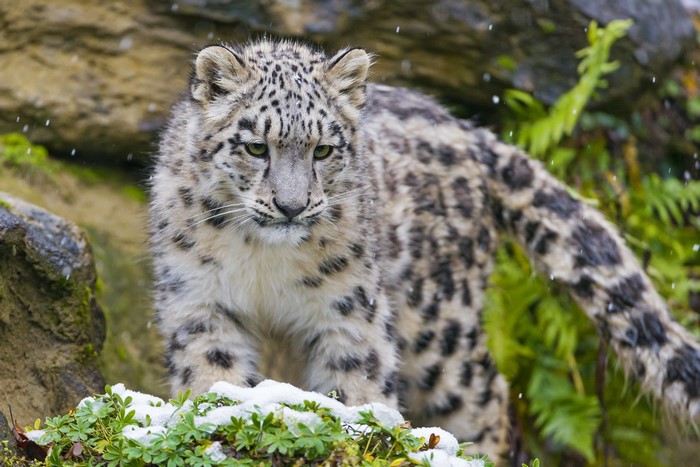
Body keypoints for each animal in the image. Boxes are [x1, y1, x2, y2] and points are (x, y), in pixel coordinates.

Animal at [149, 39, 700, 457]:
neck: (265, 262)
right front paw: (217, 423)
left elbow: (357, 384)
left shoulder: (348, 311)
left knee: (489, 398)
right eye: (255, 147)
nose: (290, 206)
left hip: (441, 328)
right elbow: (212, 373)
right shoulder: (200, 302)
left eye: (323, 149)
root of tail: (470, 131)